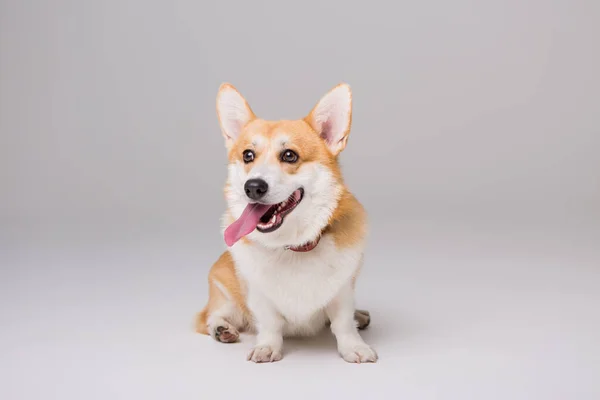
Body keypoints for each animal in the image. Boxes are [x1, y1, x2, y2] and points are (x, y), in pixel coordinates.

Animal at [195, 82, 378, 362]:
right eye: (248, 155)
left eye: (290, 155)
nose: (253, 186)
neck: (293, 245)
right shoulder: (258, 295)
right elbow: (269, 323)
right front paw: (267, 347)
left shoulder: (343, 290)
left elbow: (343, 323)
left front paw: (354, 346)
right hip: (223, 290)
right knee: (211, 315)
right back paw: (221, 329)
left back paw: (361, 316)